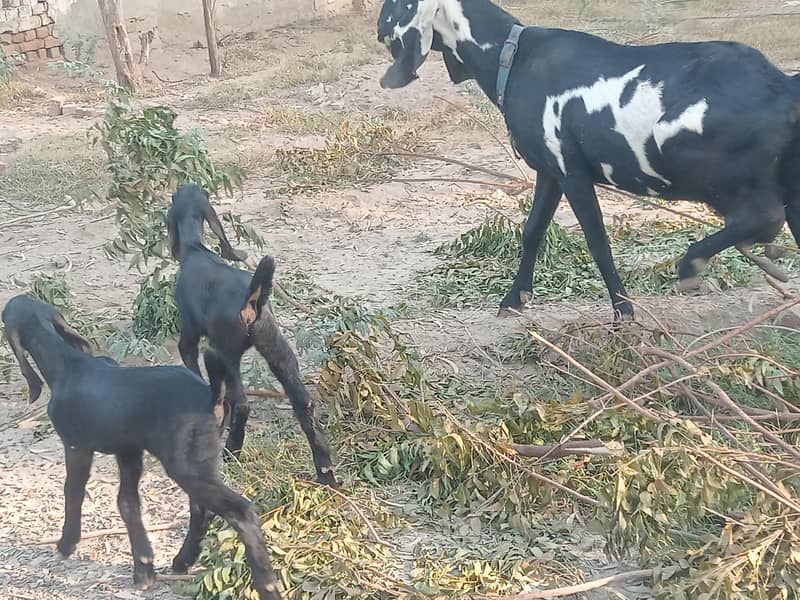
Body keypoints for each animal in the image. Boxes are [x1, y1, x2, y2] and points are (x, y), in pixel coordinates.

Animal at [2, 294, 283, 600]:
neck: (66, 364)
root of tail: (212, 397)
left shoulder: (77, 446)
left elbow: (73, 492)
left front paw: (67, 542)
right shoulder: (129, 452)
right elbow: (127, 504)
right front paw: (144, 567)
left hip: (185, 465)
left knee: (240, 512)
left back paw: (266, 584)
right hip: (198, 462)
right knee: (202, 510)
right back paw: (183, 560)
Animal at [166, 183, 337, 487]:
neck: (196, 249)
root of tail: (252, 300)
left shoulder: (190, 338)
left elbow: (194, 370)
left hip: (222, 354)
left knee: (242, 404)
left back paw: (232, 450)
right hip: (278, 352)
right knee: (304, 403)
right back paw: (325, 471)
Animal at [376, 0, 800, 321]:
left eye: (394, 5)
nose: (379, 28)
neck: (511, 56)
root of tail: (782, 85)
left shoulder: (572, 171)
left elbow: (597, 240)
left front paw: (623, 311)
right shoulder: (549, 171)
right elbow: (533, 231)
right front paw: (514, 299)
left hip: (703, 167)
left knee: (761, 216)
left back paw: (694, 264)